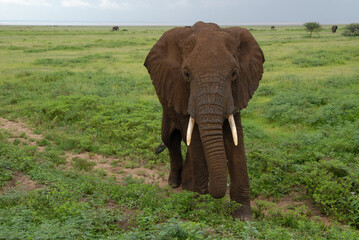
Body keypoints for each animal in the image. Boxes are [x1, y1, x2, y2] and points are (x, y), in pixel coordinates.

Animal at [145, 21, 266, 220]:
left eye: (234, 73)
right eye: (186, 74)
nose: (213, 194)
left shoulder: (236, 91)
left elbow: (235, 137)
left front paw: (243, 217)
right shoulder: (181, 90)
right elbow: (194, 138)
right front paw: (200, 208)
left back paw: (187, 186)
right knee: (170, 139)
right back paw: (175, 184)